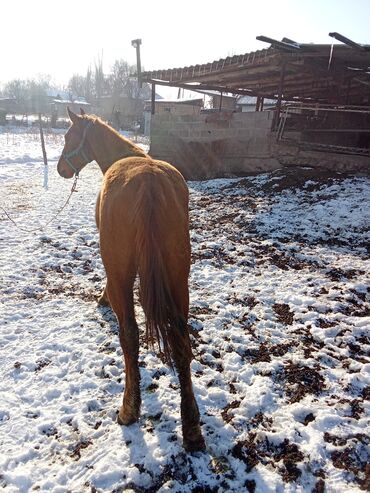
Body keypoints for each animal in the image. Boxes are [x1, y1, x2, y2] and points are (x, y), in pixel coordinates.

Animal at [57, 109, 205, 452]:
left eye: (69, 136)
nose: (60, 169)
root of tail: (149, 183)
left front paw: (100, 297)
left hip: (122, 274)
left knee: (129, 334)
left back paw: (129, 409)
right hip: (178, 276)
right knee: (181, 338)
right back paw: (191, 428)